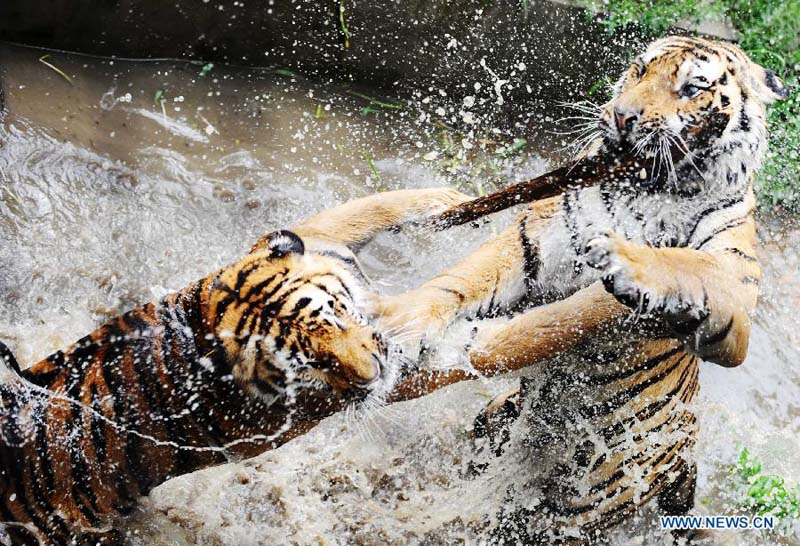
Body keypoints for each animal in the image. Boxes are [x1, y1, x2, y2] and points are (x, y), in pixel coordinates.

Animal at [0, 185, 468, 540]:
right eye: (310, 364)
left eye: (336, 313)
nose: (376, 371)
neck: (205, 311)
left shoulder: (305, 237)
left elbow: (370, 207)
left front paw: (447, 198)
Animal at [378, 36, 792, 540]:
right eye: (639, 69)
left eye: (693, 87)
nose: (623, 116)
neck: (650, 189)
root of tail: (685, 459)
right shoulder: (533, 242)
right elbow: (457, 282)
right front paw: (401, 328)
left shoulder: (735, 299)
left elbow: (681, 263)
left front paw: (626, 260)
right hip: (496, 416)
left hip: (583, 502)